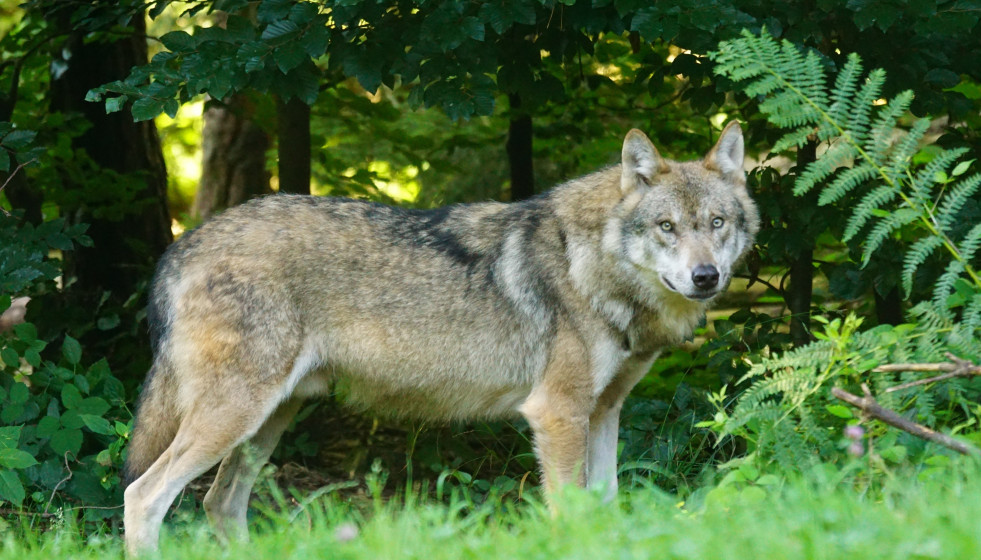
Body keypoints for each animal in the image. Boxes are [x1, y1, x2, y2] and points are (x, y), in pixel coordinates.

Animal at [123, 121, 758, 554]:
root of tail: (183, 244)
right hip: (235, 417)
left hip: (267, 422)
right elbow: (570, 515)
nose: (706, 277)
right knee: (144, 496)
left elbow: (605, 508)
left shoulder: (603, 413)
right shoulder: (557, 414)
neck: (592, 265)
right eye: (666, 227)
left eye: (716, 224)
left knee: (219, 503)